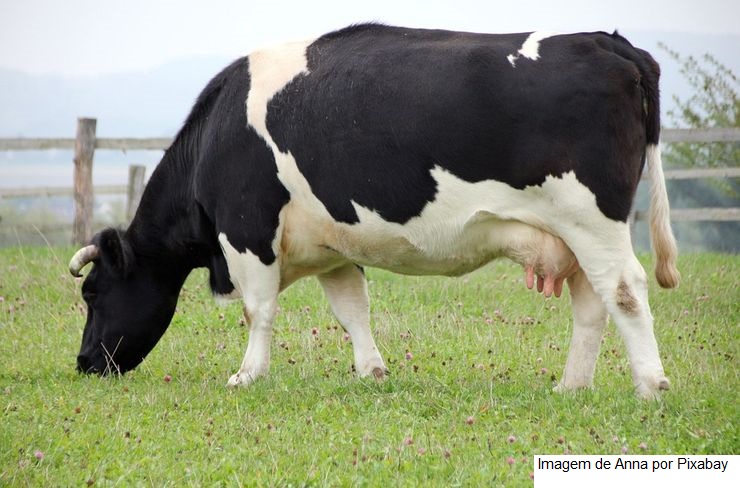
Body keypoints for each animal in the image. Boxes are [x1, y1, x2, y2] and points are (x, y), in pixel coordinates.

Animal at [69, 24, 679, 399]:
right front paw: (372, 372)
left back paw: (651, 386)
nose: (85, 362)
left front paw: (246, 375)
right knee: (592, 304)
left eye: (92, 293)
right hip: (570, 235)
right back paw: (571, 386)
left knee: (624, 289)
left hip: (590, 218)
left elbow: (257, 309)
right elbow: (351, 309)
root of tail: (607, 40)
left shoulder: (246, 229)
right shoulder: (332, 243)